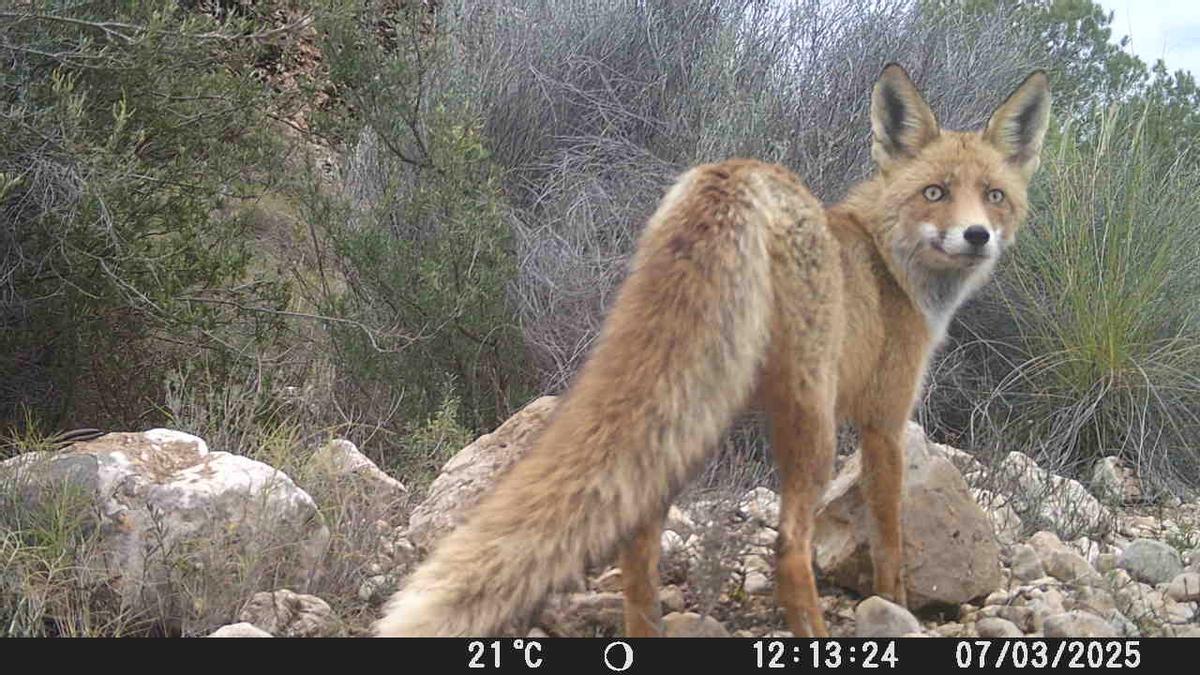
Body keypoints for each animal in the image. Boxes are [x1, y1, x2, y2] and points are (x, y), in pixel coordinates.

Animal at [375, 64, 1051, 637]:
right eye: (935, 193)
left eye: (994, 195)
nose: (977, 236)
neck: (888, 266)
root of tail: (736, 171)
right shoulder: (884, 420)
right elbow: (889, 536)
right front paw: (896, 606)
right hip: (806, 425)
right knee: (786, 550)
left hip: (691, 414)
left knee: (639, 536)